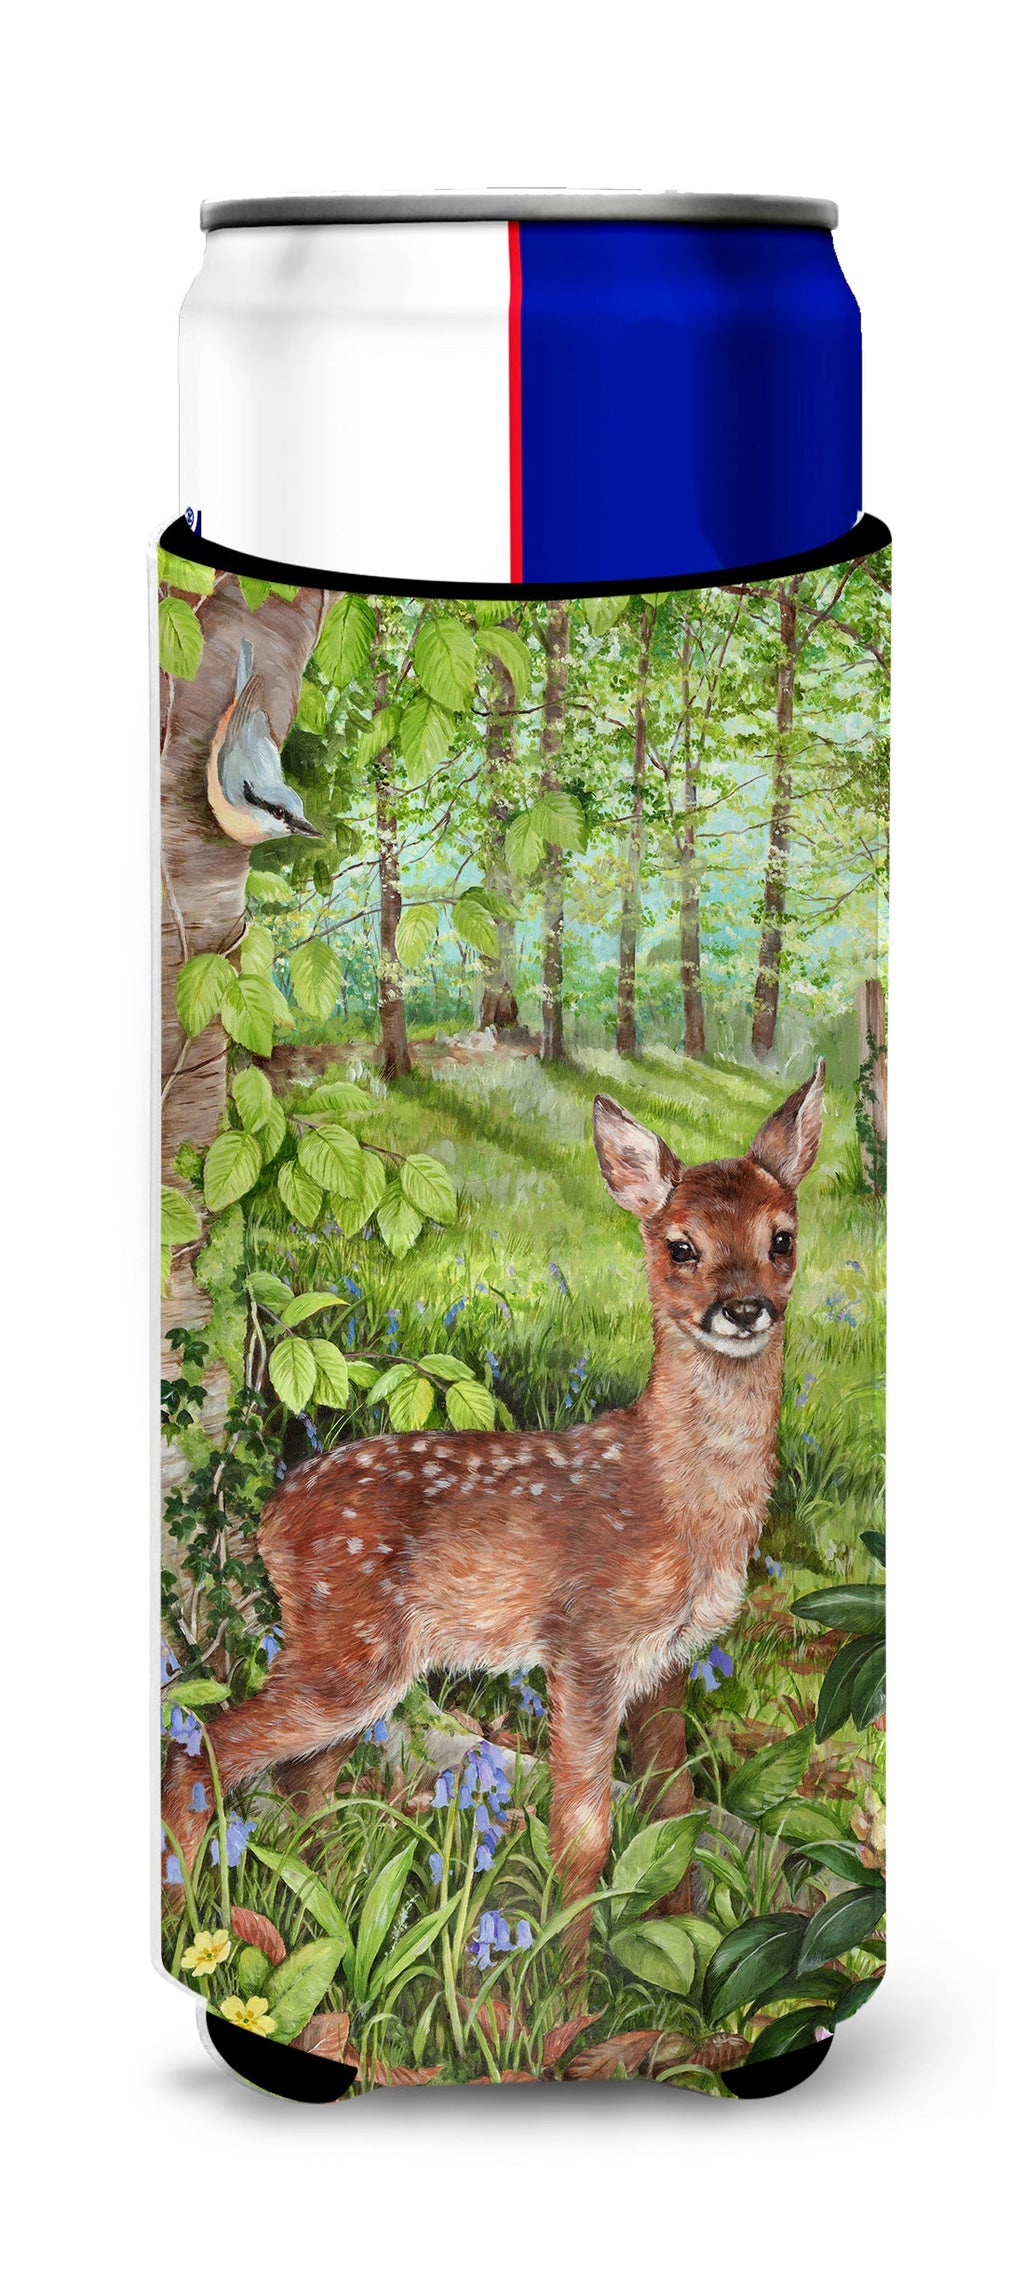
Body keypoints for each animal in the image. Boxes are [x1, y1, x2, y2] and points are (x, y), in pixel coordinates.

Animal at [163, 1063, 825, 1974]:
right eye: (681, 1245)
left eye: (782, 1238)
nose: (745, 1307)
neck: (677, 1501)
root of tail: (270, 1517)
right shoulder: (586, 1642)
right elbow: (583, 1836)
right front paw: (572, 1995)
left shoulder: (668, 1658)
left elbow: (676, 1809)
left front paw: (680, 1971)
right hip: (348, 1647)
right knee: (205, 1749)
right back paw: (196, 1918)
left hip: (355, 1656)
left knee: (303, 1779)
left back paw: (330, 1917)